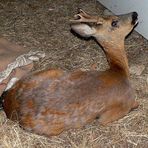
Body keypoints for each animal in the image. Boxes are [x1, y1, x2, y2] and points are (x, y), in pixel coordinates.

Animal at [0, 8, 139, 136]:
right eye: (114, 22)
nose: (135, 14)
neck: (119, 71)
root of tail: (10, 106)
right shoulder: (118, 110)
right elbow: (134, 105)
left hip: (48, 72)